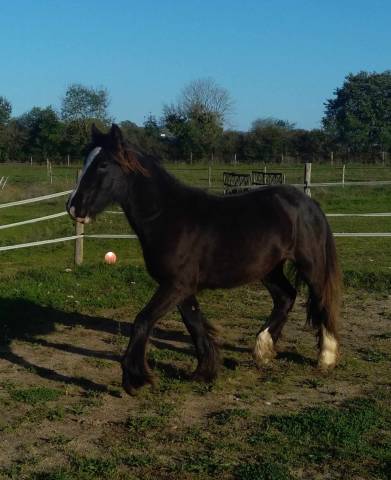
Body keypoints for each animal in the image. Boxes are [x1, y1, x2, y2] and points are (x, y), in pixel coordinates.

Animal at [67, 123, 344, 394]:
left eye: (103, 164)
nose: (73, 206)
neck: (167, 216)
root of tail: (308, 203)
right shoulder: (181, 287)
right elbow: (194, 324)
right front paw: (204, 371)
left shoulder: (177, 284)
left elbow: (143, 321)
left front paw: (135, 379)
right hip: (269, 269)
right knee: (286, 297)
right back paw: (263, 350)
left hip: (310, 266)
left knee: (321, 301)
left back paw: (326, 358)